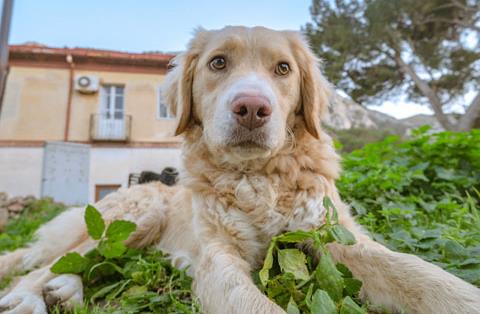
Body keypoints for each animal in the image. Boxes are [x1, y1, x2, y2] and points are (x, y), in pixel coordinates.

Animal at [0, 27, 480, 314]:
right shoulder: (219, 258)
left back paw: (66, 290)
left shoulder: (338, 237)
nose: (252, 108)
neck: (259, 178)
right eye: (218, 63)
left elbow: (423, 276)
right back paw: (28, 296)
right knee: (45, 264)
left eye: (283, 68)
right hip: (136, 217)